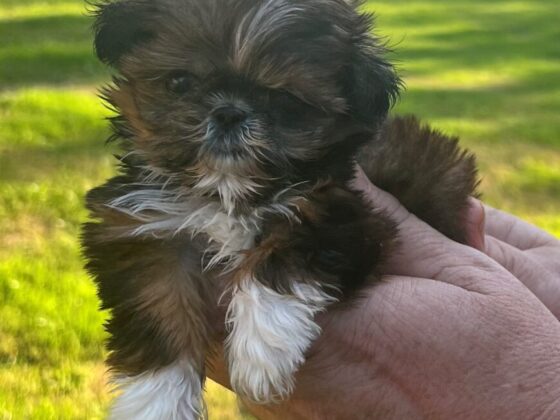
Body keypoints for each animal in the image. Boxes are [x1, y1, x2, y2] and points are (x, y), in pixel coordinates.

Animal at [82, 1, 476, 418]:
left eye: (285, 100)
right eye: (180, 82)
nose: (228, 112)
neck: (228, 193)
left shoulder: (346, 214)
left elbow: (285, 247)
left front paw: (261, 352)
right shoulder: (146, 232)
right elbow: (157, 315)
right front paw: (158, 404)